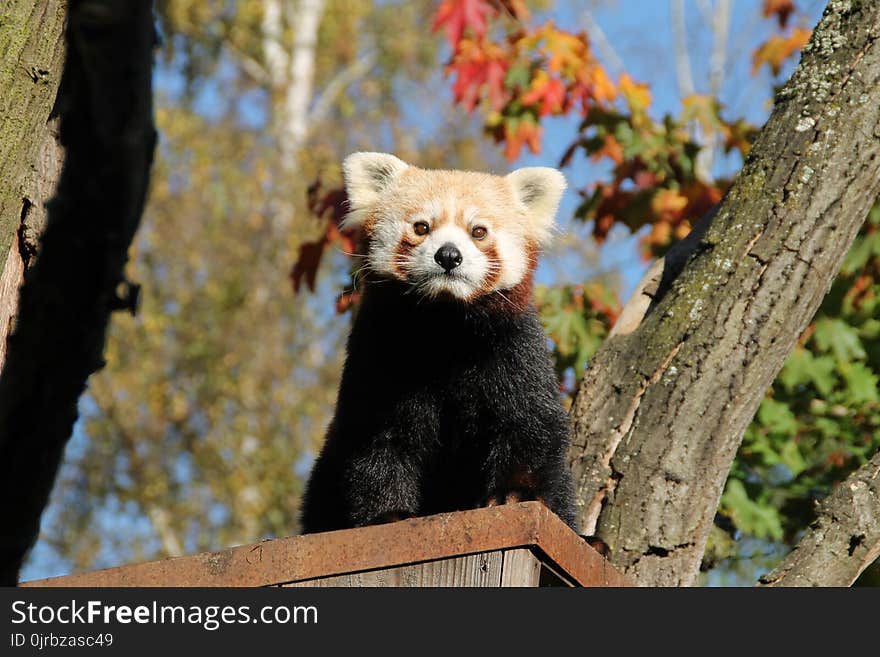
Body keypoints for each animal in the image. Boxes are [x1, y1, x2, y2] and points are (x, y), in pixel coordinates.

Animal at [300, 152, 580, 532]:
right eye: (422, 227)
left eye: (478, 231)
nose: (449, 255)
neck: (445, 328)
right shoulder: (376, 353)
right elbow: (378, 438)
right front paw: (387, 514)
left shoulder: (516, 349)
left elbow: (529, 424)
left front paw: (513, 495)